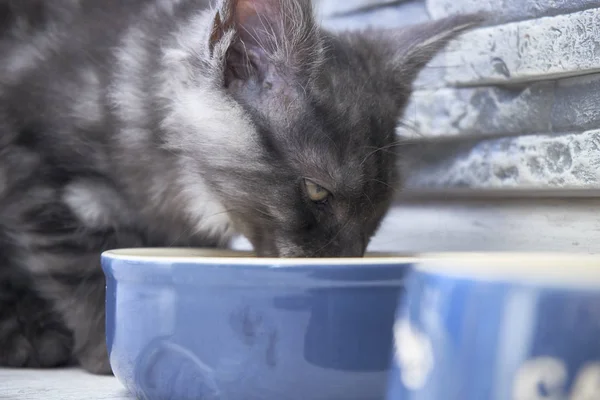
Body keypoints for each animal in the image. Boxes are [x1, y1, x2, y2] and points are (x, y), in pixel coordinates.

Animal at [0, 0, 480, 376]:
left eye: (378, 210)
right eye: (317, 192)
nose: (345, 261)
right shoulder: (34, 171)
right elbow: (76, 262)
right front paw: (104, 345)